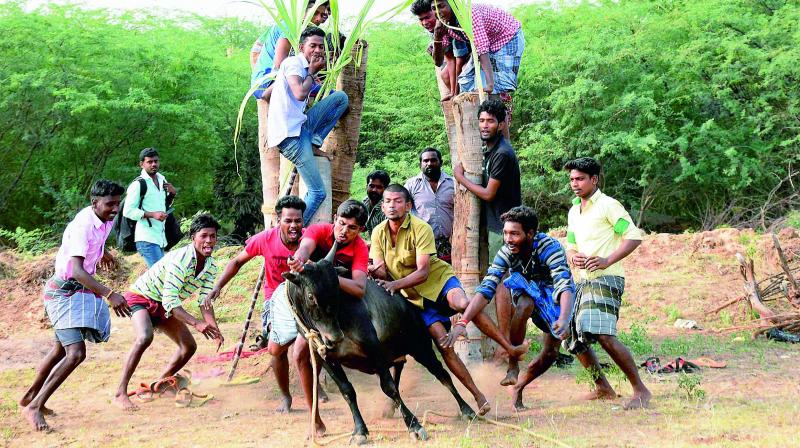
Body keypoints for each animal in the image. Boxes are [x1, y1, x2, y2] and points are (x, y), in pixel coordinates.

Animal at [282, 256, 476, 440]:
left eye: (337, 290)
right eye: (310, 296)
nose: (335, 338)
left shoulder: (373, 348)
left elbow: (388, 387)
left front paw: (415, 426)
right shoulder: (326, 357)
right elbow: (347, 391)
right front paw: (360, 431)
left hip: (421, 349)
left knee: (442, 375)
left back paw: (468, 410)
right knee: (400, 368)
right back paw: (390, 408)